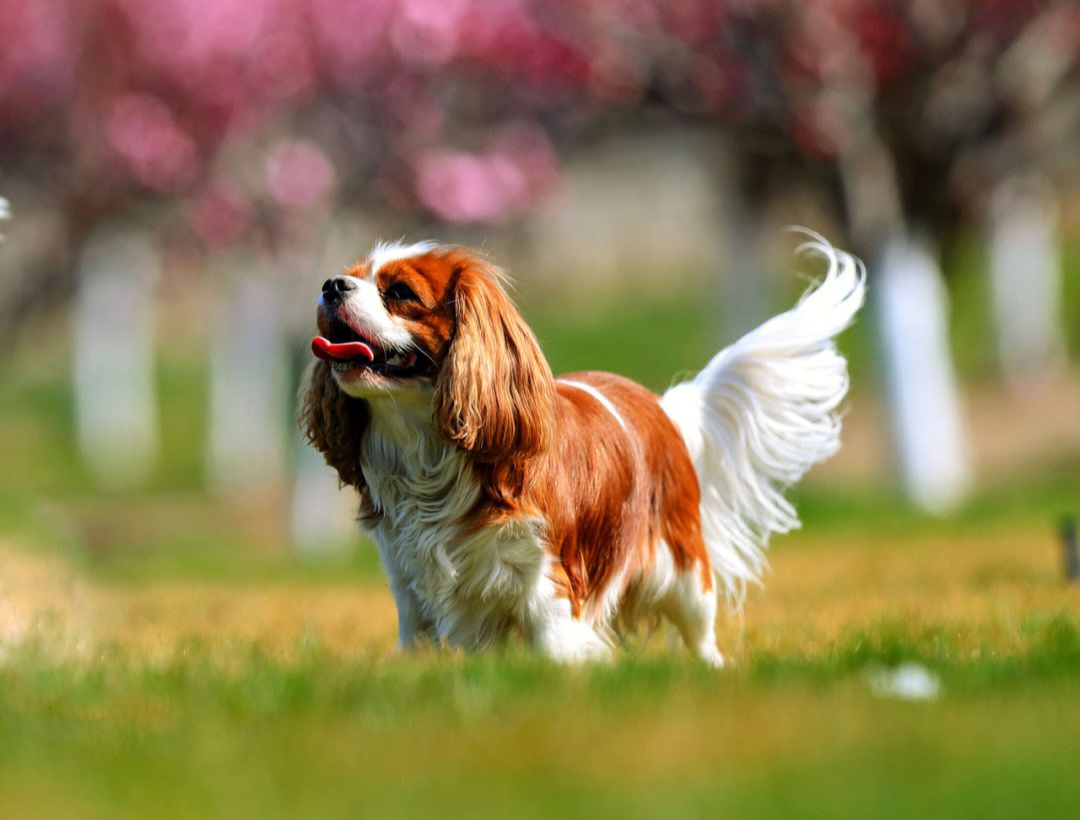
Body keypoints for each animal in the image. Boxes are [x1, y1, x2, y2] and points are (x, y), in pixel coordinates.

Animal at [300, 237, 864, 665]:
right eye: (351, 276)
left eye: (399, 292)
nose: (330, 285)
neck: (426, 455)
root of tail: (661, 406)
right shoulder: (409, 585)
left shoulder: (546, 585)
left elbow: (556, 647)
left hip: (685, 574)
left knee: (701, 636)